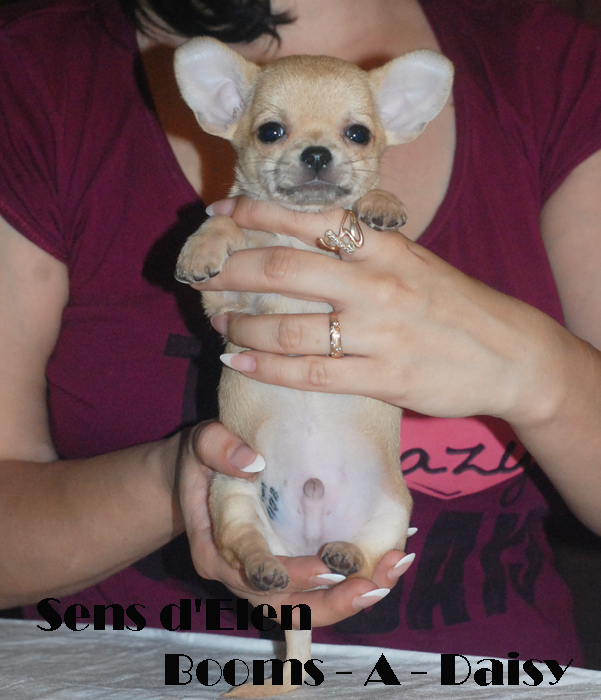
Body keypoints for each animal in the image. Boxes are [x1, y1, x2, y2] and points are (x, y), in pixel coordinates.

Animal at [173, 38, 453, 696]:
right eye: (271, 131)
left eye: (358, 134)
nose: (319, 153)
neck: (300, 237)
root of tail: (307, 537)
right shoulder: (227, 310)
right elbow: (228, 217)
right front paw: (203, 244)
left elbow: (369, 201)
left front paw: (380, 202)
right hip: (233, 495)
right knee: (247, 544)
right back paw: (267, 569)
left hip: (392, 514)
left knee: (368, 553)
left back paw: (344, 556)